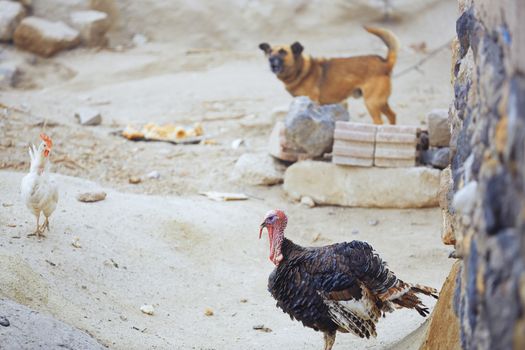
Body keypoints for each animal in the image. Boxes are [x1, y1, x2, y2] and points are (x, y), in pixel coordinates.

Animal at [258, 26, 398, 123]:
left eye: (283, 52)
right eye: (270, 51)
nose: (271, 59)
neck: (301, 70)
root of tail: (385, 62)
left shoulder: (313, 102)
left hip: (372, 103)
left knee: (379, 122)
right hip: (380, 102)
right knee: (393, 115)